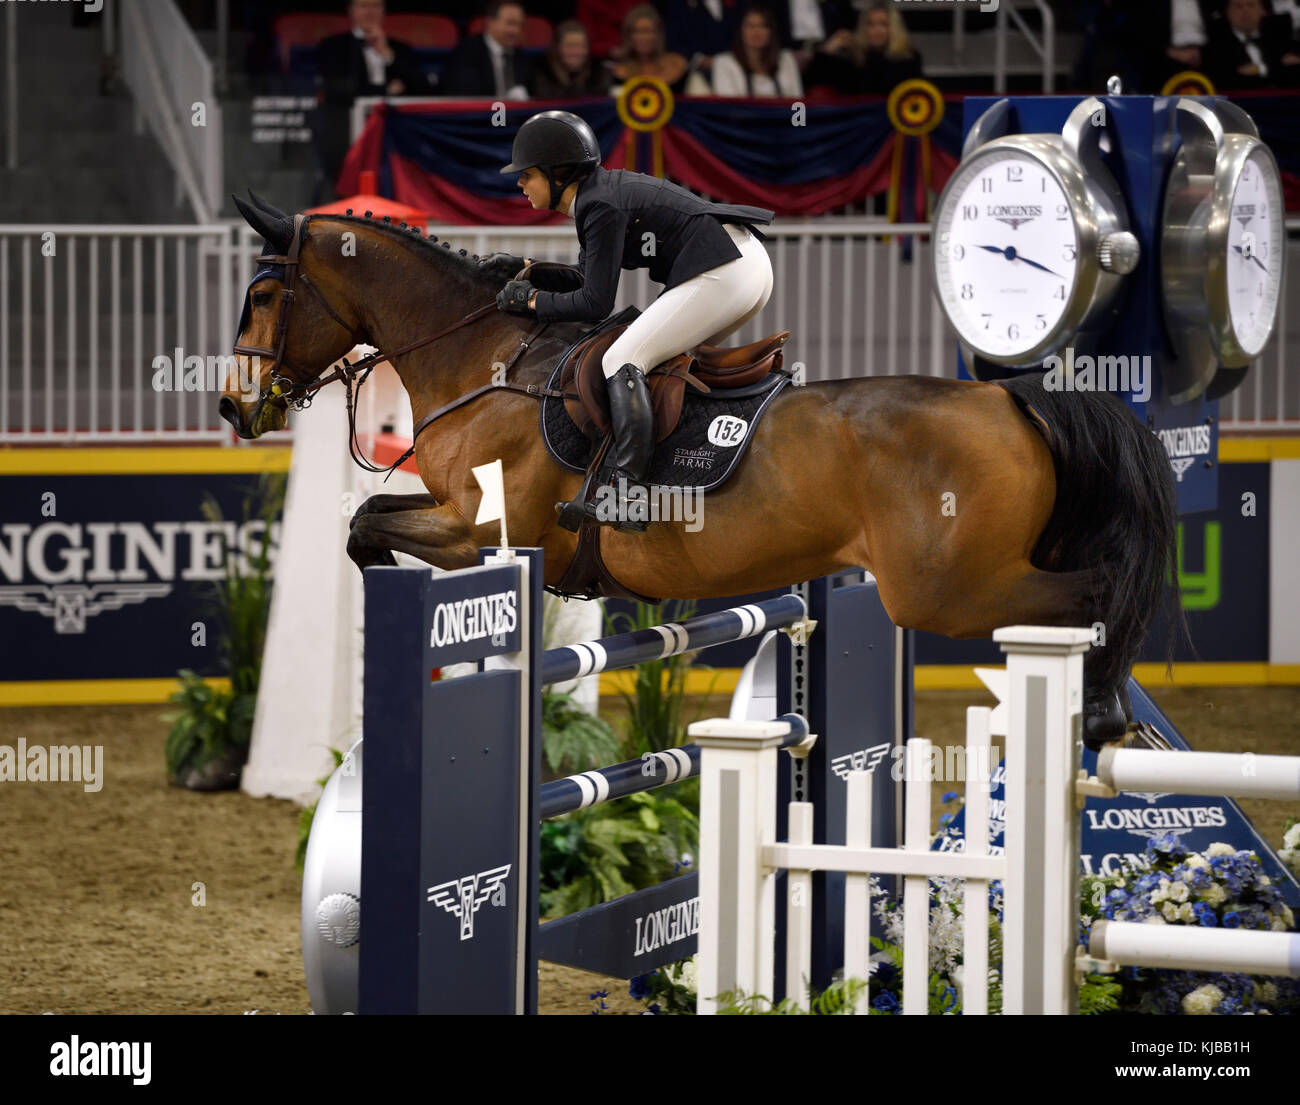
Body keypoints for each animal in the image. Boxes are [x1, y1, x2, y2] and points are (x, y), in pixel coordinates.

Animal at [220, 194, 1181, 747]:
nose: (234, 409)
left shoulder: (483, 529)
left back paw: (1103, 711)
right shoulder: (456, 510)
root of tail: (1011, 401)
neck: (482, 359)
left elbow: (368, 526)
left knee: (1095, 593)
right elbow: (369, 515)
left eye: (262, 295)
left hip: (948, 590)